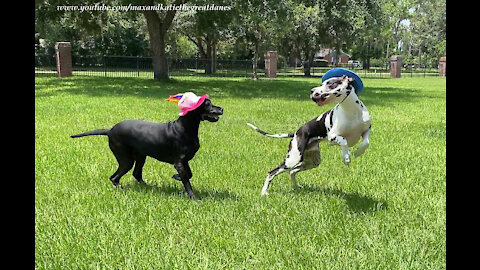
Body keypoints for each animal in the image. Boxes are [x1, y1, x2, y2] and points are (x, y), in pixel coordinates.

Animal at [71, 92, 223, 199]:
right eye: (208, 103)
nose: (221, 109)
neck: (185, 127)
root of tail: (110, 130)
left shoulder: (183, 161)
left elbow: (189, 174)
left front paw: (176, 177)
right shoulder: (179, 162)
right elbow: (187, 181)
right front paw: (193, 198)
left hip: (140, 157)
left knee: (136, 174)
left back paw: (148, 187)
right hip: (126, 159)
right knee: (114, 177)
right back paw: (122, 190)